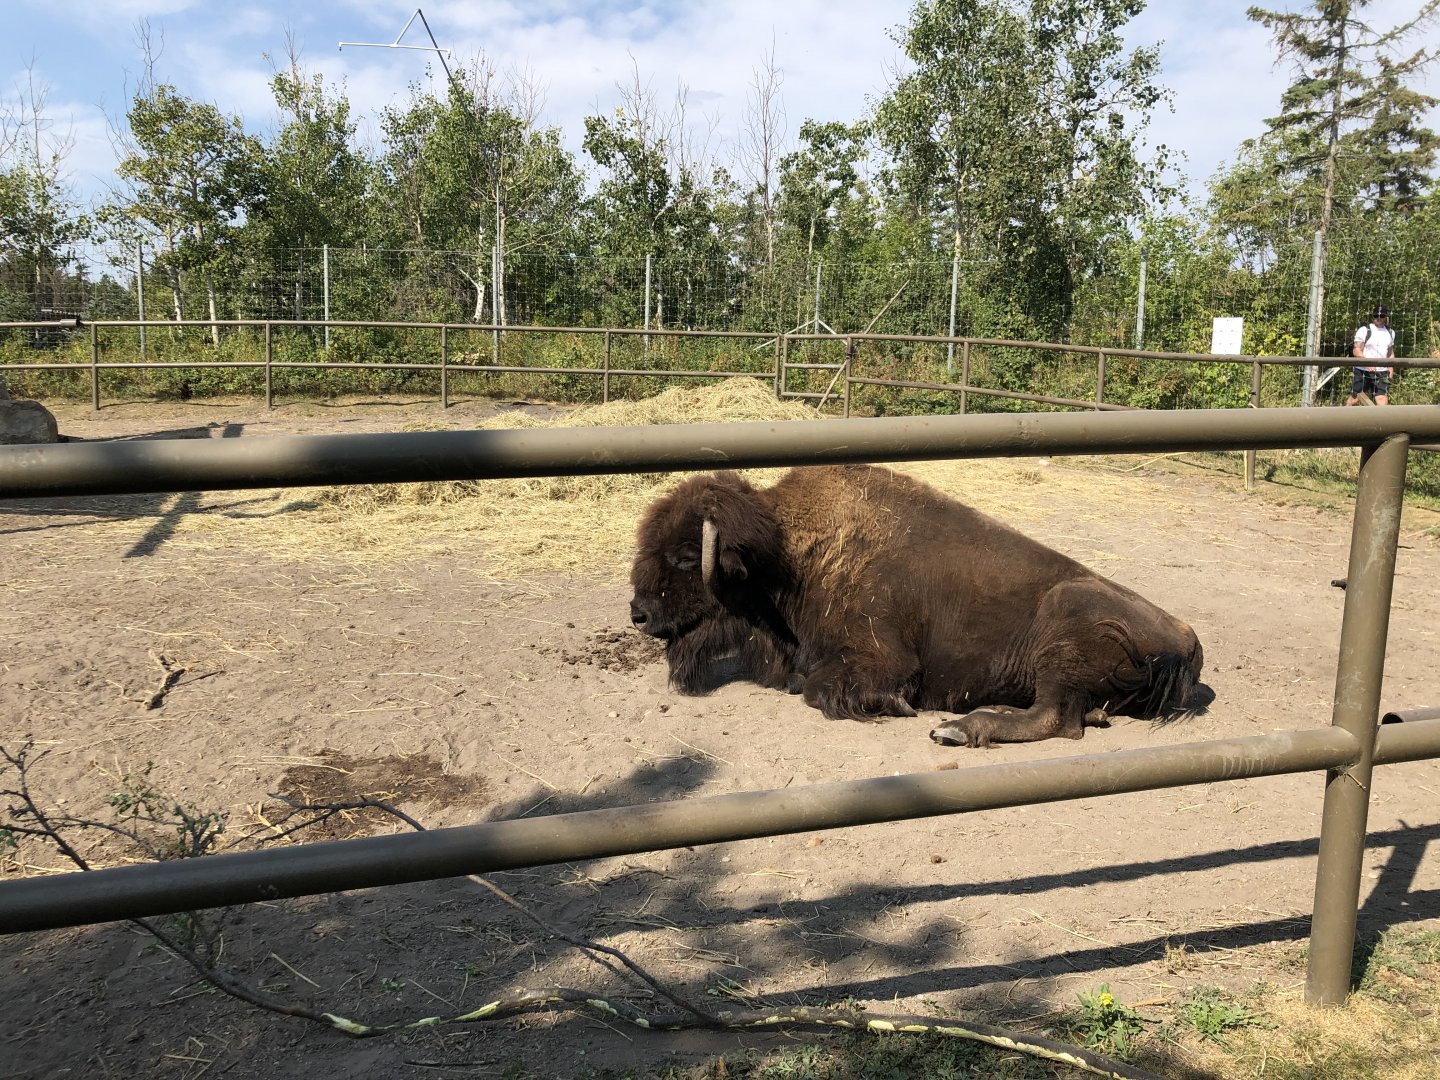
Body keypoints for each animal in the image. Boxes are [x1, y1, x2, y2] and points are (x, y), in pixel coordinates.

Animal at [628, 464, 1204, 747]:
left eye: (686, 557)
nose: (639, 613)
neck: (787, 553)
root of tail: (1188, 640)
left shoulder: (883, 660)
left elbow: (820, 690)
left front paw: (896, 707)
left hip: (1063, 627)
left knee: (1056, 718)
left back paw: (957, 728)